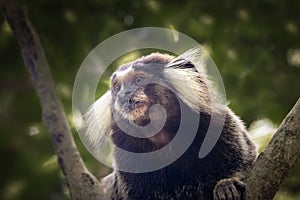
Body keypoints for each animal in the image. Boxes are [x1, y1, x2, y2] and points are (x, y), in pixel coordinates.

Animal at [82, 48, 258, 200]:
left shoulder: (217, 122)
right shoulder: (126, 150)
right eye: (118, 88)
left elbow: (246, 158)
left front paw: (226, 184)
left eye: (138, 80)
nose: (123, 95)